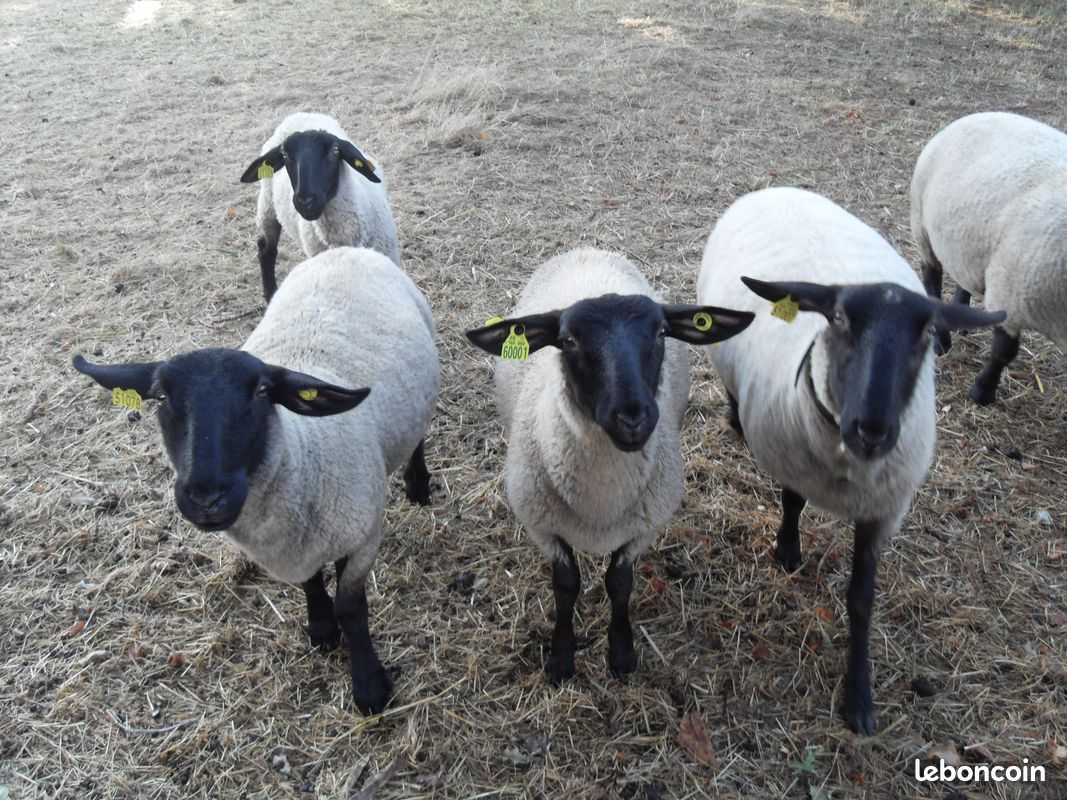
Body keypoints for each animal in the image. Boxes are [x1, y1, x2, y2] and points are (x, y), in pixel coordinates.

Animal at [73, 246, 439, 715]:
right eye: (161, 397)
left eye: (263, 392)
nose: (206, 497)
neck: (305, 452)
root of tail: (343, 250)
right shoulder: (298, 542)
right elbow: (311, 583)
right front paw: (320, 630)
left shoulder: (361, 537)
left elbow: (351, 609)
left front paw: (370, 688)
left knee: (418, 436)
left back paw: (418, 485)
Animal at [239, 112, 401, 303]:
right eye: (284, 154)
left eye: (335, 151)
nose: (305, 200)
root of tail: (302, 113)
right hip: (268, 207)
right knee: (267, 251)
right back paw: (270, 293)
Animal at [466, 248, 753, 682]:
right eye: (568, 341)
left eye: (661, 333)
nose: (633, 418)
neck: (600, 504)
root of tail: (587, 248)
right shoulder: (543, 525)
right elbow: (566, 584)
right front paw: (561, 656)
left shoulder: (643, 525)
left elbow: (619, 583)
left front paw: (621, 653)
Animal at [697, 187, 1004, 734]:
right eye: (838, 319)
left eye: (926, 332)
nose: (872, 429)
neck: (846, 469)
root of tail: (778, 187)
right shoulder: (795, 454)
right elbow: (792, 503)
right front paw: (788, 549)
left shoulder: (884, 509)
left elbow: (862, 600)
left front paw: (858, 698)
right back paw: (734, 419)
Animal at [910, 111, 1067, 405]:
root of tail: (974, 115)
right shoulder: (1012, 296)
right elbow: (1003, 352)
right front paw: (982, 392)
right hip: (923, 226)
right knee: (932, 278)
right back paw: (941, 342)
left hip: (970, 237)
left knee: (964, 275)